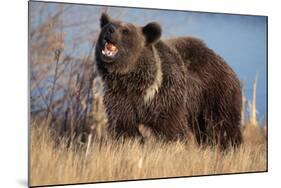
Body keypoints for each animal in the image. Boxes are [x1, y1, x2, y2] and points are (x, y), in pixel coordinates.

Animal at [95, 12, 242, 149]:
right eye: (108, 26)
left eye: (125, 30)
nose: (110, 30)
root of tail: (224, 63)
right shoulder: (120, 97)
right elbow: (125, 128)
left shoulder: (166, 96)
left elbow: (171, 130)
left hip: (216, 93)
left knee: (222, 126)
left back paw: (229, 147)